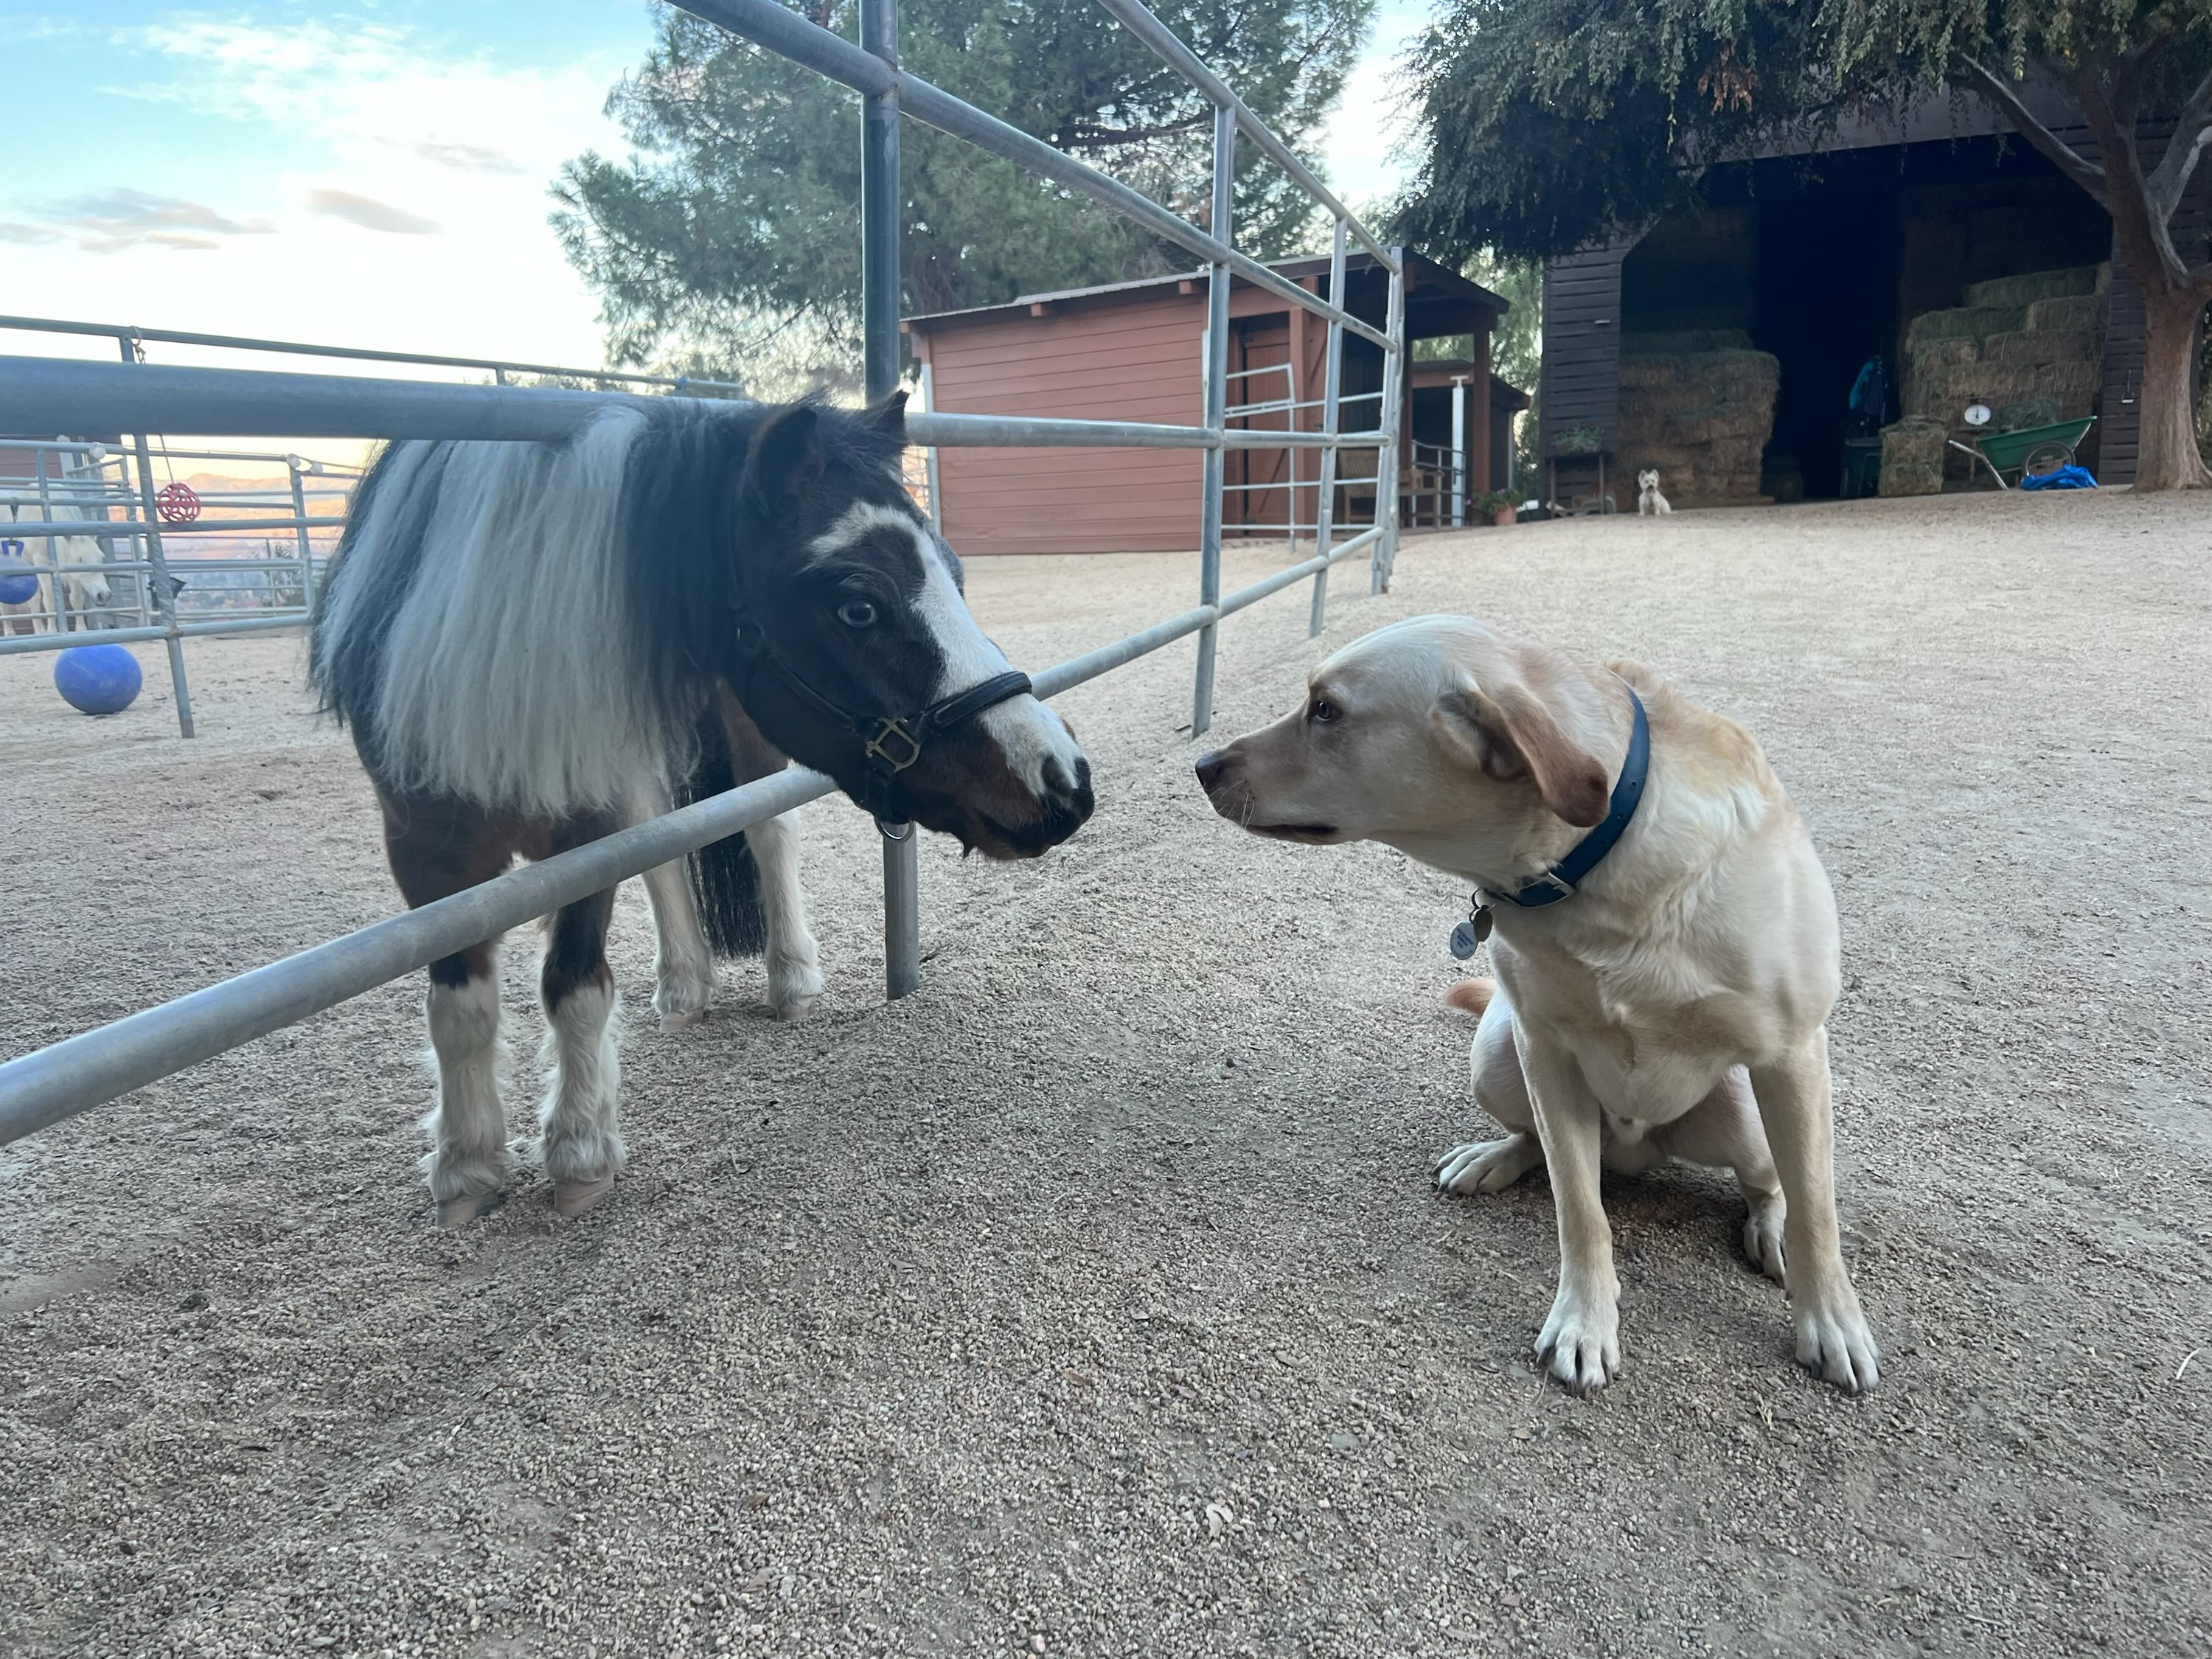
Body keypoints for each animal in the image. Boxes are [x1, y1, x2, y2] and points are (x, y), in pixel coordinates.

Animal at [309, 392, 1093, 1225]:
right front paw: (465, 1166)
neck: (492, 659)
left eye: (954, 575)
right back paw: (684, 986)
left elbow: (573, 982)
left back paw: (790, 978)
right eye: (857, 607)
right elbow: (459, 1007)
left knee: (766, 831)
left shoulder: (582, 841)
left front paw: (580, 1152)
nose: (1064, 781)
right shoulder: (426, 854)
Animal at [1194, 616, 1878, 1395]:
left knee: (1772, 1186)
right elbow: (1579, 1209)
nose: (1203, 765)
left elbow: (1817, 1213)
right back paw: (1495, 1157)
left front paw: (1831, 1323)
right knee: (1550, 1149)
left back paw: (1767, 1228)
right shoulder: (1544, 1047)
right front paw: (1585, 1321)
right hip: (1497, 1052)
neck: (1597, 860)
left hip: (1747, 1115)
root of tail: (1636, 1152)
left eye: (1327, 710)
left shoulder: (1792, 1054)